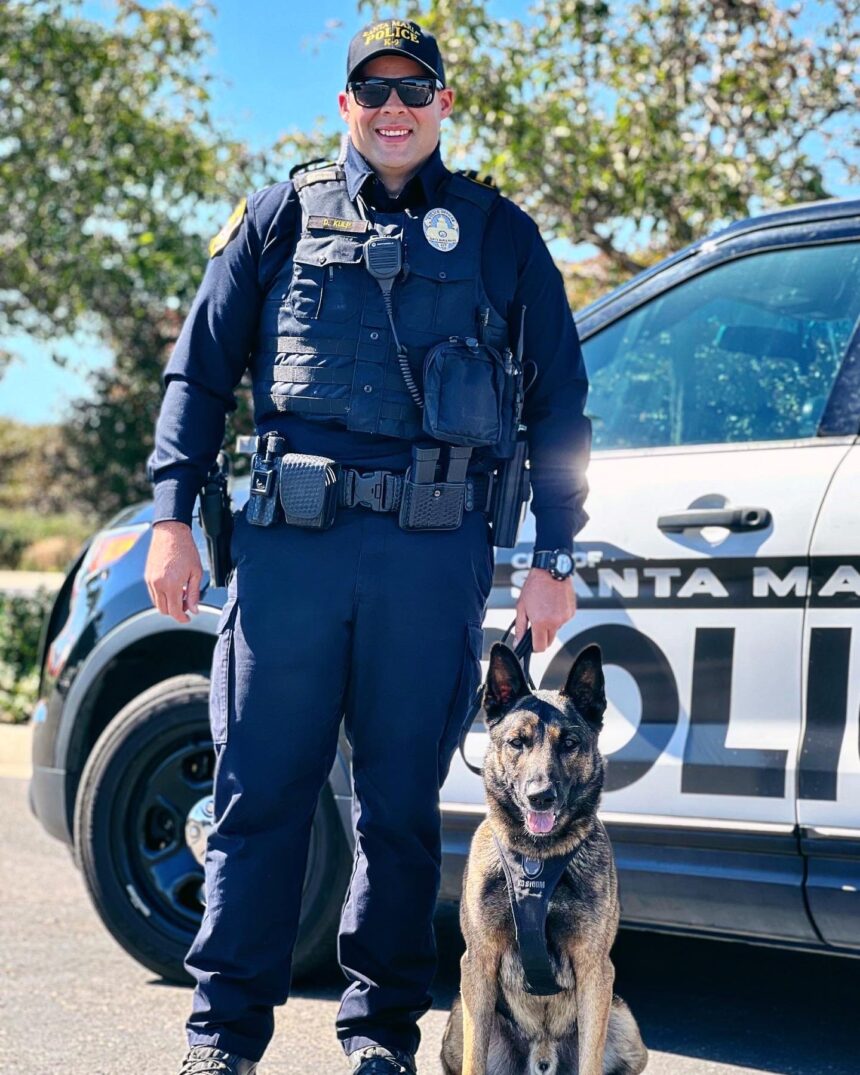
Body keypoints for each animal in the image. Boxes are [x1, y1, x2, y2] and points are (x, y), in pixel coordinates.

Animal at [440, 640, 649, 1070]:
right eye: (517, 742)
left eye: (569, 743)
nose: (541, 796)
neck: (537, 856)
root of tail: (543, 1053)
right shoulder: (478, 964)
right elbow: (473, 1063)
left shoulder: (595, 969)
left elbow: (590, 1063)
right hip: (459, 1016)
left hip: (623, 1021)